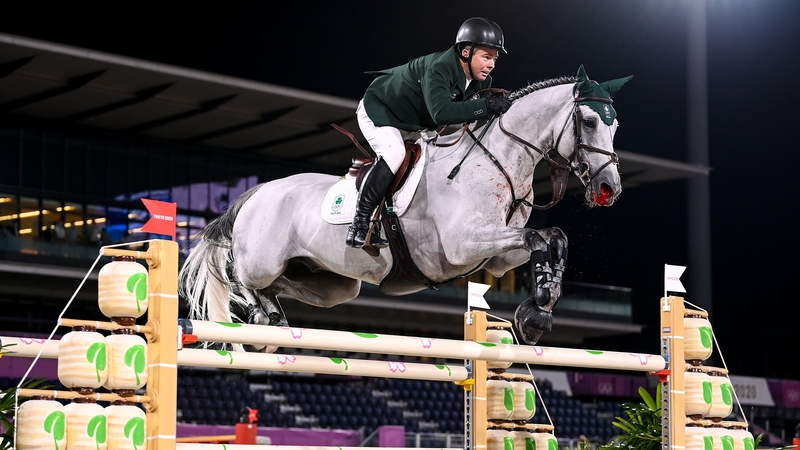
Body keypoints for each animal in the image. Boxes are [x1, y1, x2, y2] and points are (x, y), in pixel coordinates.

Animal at [180, 65, 632, 350]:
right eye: (590, 121)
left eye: (615, 126)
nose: (609, 189)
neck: (498, 159)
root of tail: (257, 192)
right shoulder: (463, 245)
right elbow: (542, 236)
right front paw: (535, 313)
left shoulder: (499, 256)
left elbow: (552, 238)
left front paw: (536, 312)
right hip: (261, 260)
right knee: (240, 275)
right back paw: (258, 317)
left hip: (332, 284)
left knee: (280, 287)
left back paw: (272, 320)